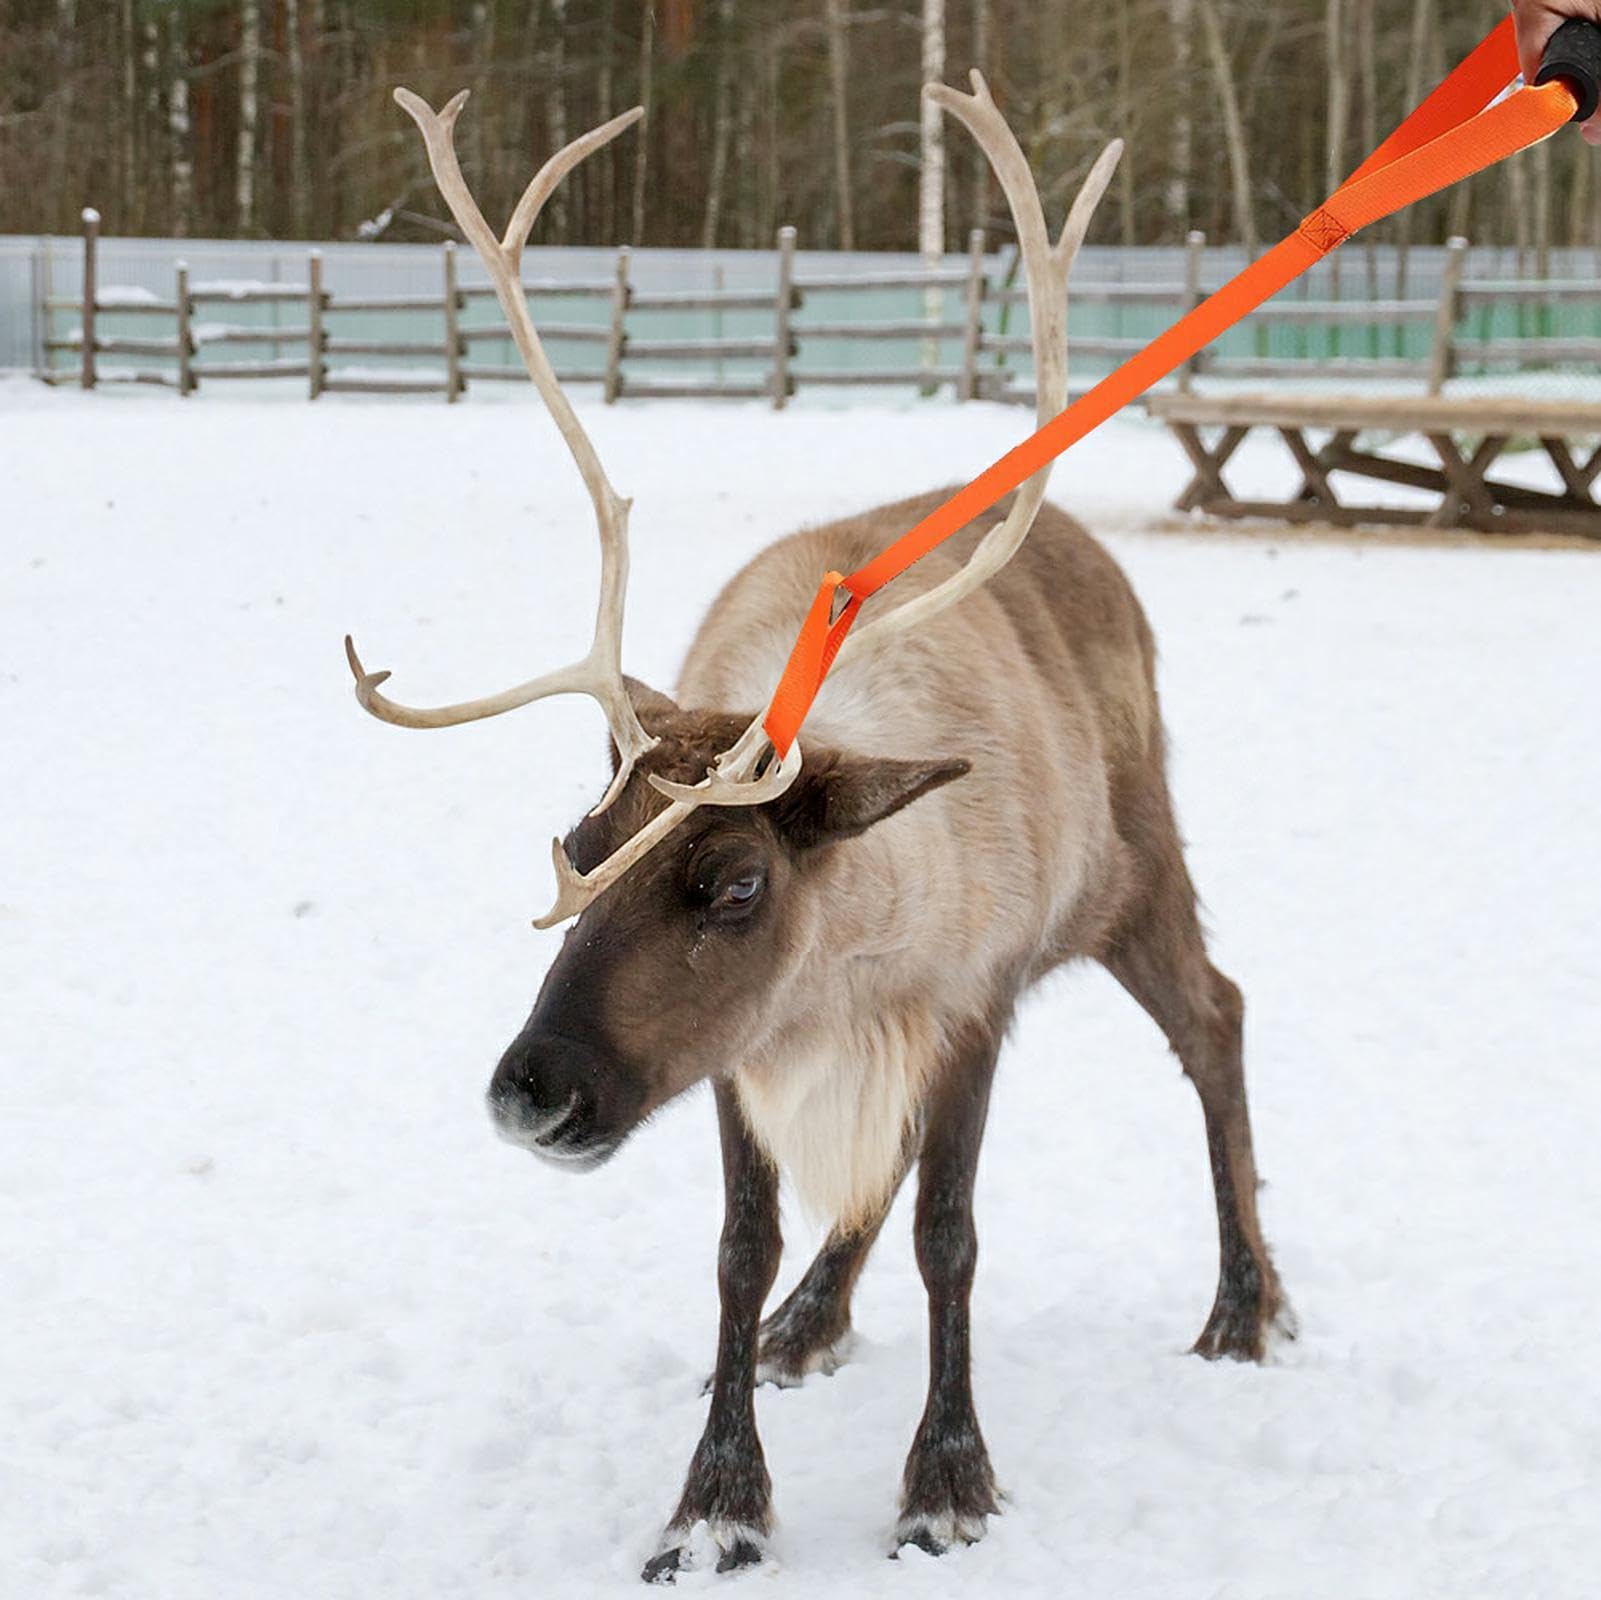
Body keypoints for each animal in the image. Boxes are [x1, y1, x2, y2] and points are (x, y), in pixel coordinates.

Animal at [346, 73, 1294, 1583]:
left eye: (735, 883)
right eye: (579, 845)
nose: (532, 1089)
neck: (853, 960)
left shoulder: (966, 1004)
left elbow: (950, 1231)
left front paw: (946, 1483)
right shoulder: (757, 1045)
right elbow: (742, 1244)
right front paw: (716, 1501)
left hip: (1139, 867)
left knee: (1217, 1014)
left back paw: (1244, 1305)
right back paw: (812, 1318)